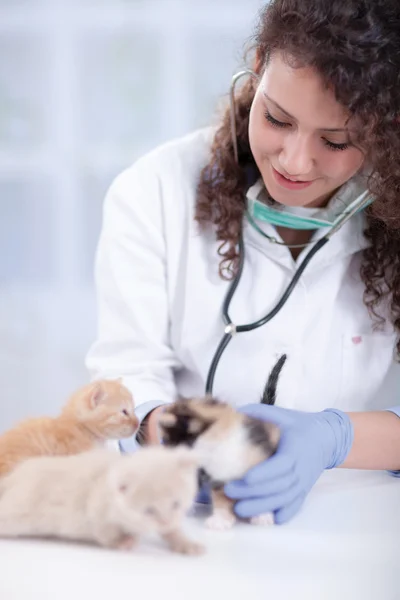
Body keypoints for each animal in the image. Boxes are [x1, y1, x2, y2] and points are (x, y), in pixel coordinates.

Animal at [0, 448, 203, 556]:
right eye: (149, 510)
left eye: (176, 504)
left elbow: (173, 531)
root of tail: (12, 478)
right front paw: (123, 542)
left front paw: (185, 543)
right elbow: (104, 533)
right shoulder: (96, 508)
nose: (166, 522)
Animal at [158, 354, 286, 528]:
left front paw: (262, 515)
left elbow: (265, 491)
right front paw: (221, 519)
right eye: (165, 441)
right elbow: (220, 497)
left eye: (187, 443)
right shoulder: (216, 478)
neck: (219, 451)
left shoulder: (262, 463)